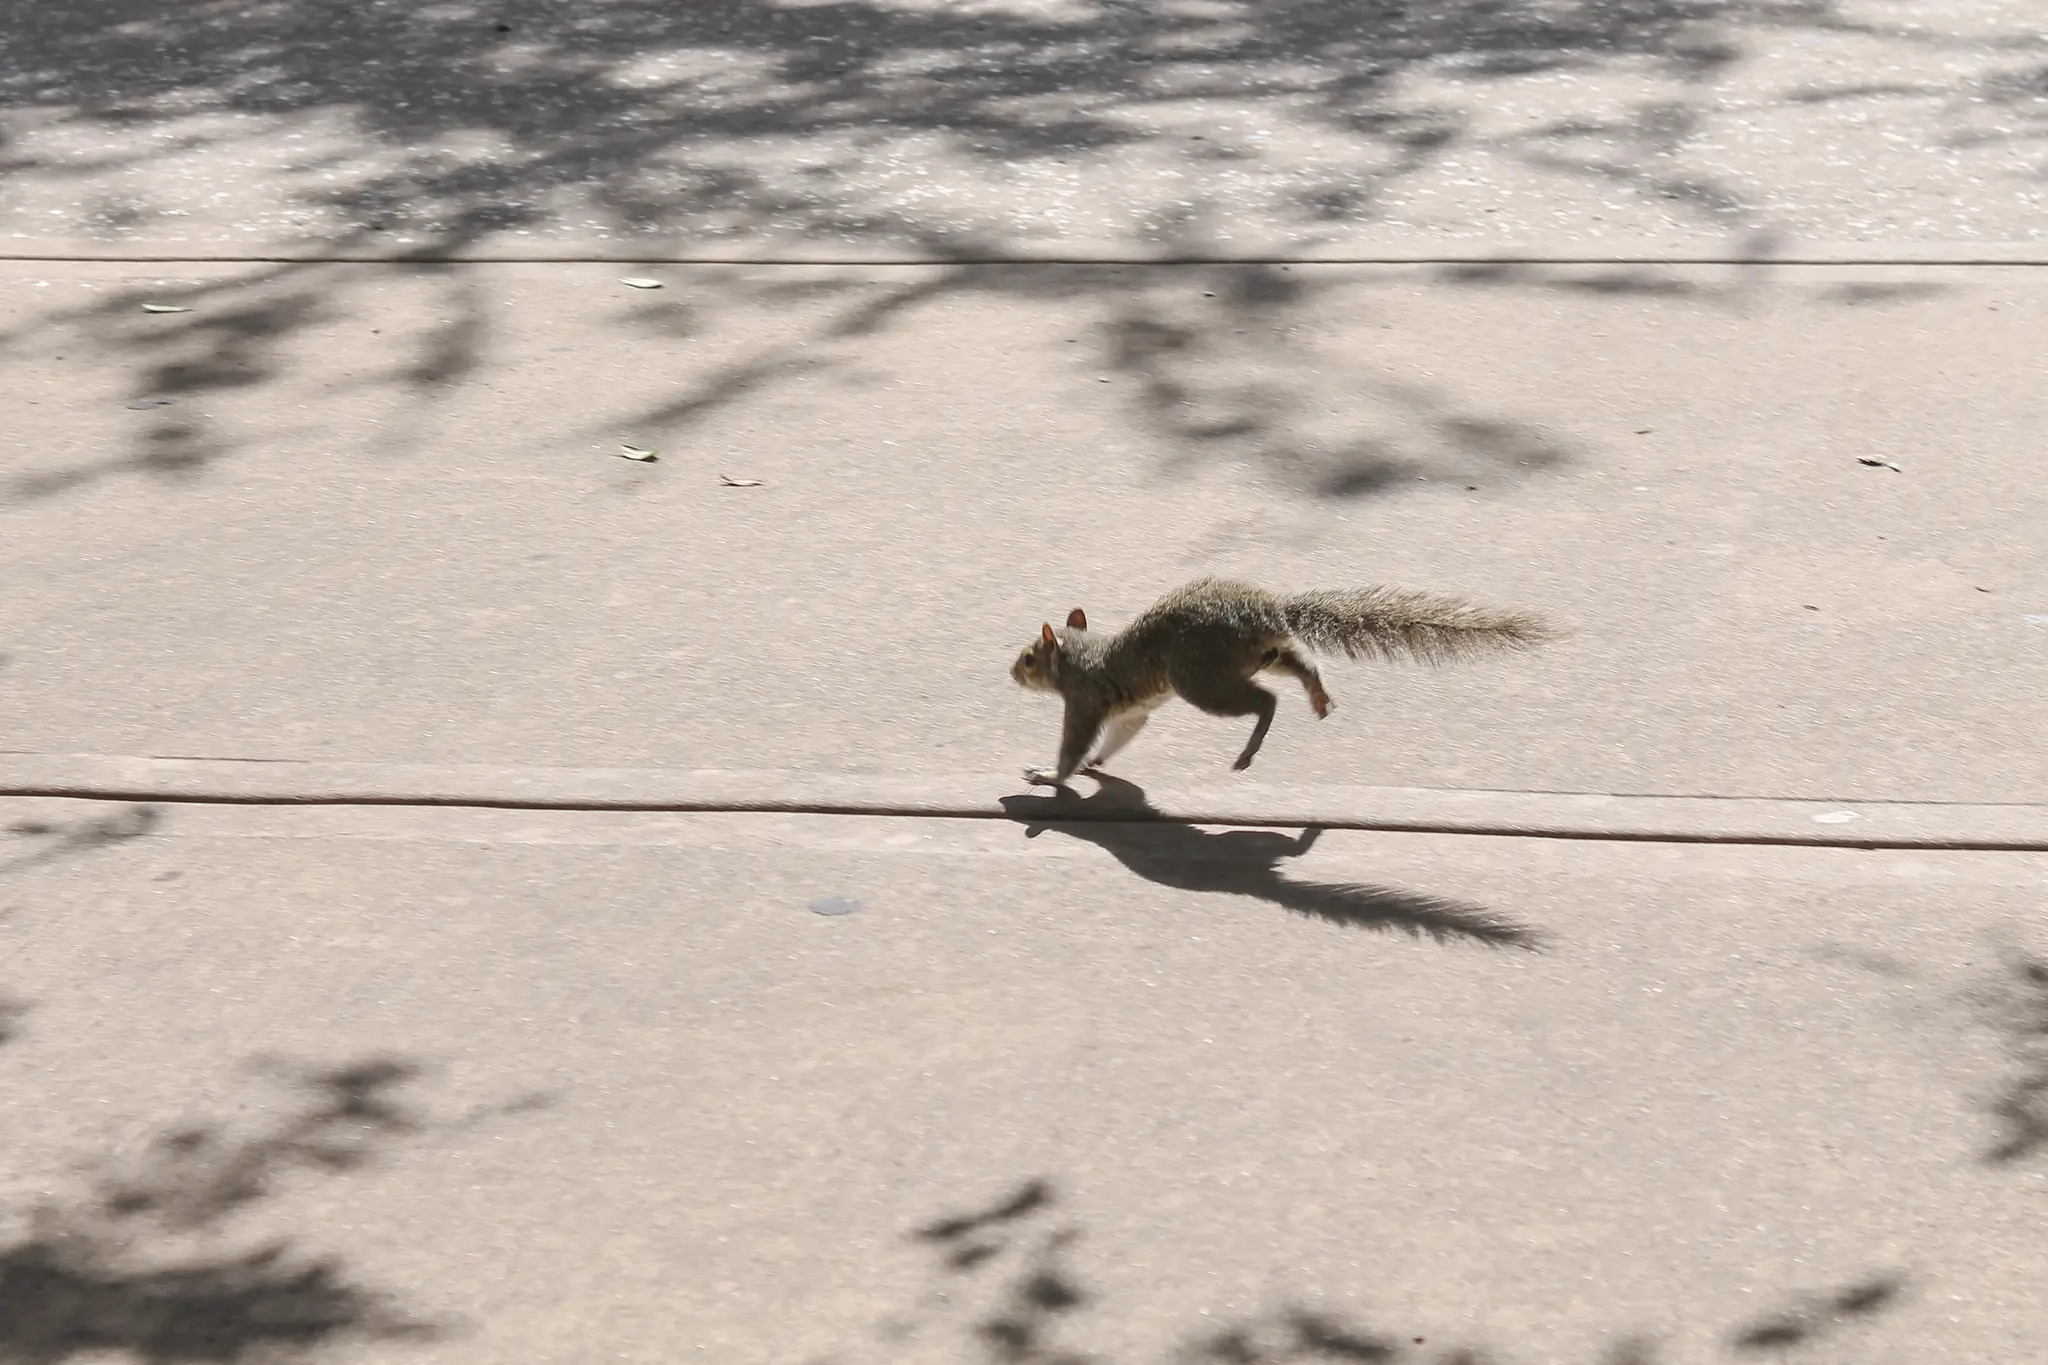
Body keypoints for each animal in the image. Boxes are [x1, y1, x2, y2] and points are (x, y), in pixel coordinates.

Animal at [1010, 576, 1558, 787]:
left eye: (1029, 658)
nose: (1011, 672)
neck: (1083, 655)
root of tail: (1265, 612)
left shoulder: (1084, 702)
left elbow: (1074, 745)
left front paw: (1047, 774)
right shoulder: (1133, 712)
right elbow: (1119, 737)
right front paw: (1098, 765)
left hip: (1201, 681)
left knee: (1265, 700)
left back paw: (1250, 749)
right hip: (1256, 656)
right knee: (1298, 661)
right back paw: (1319, 697)